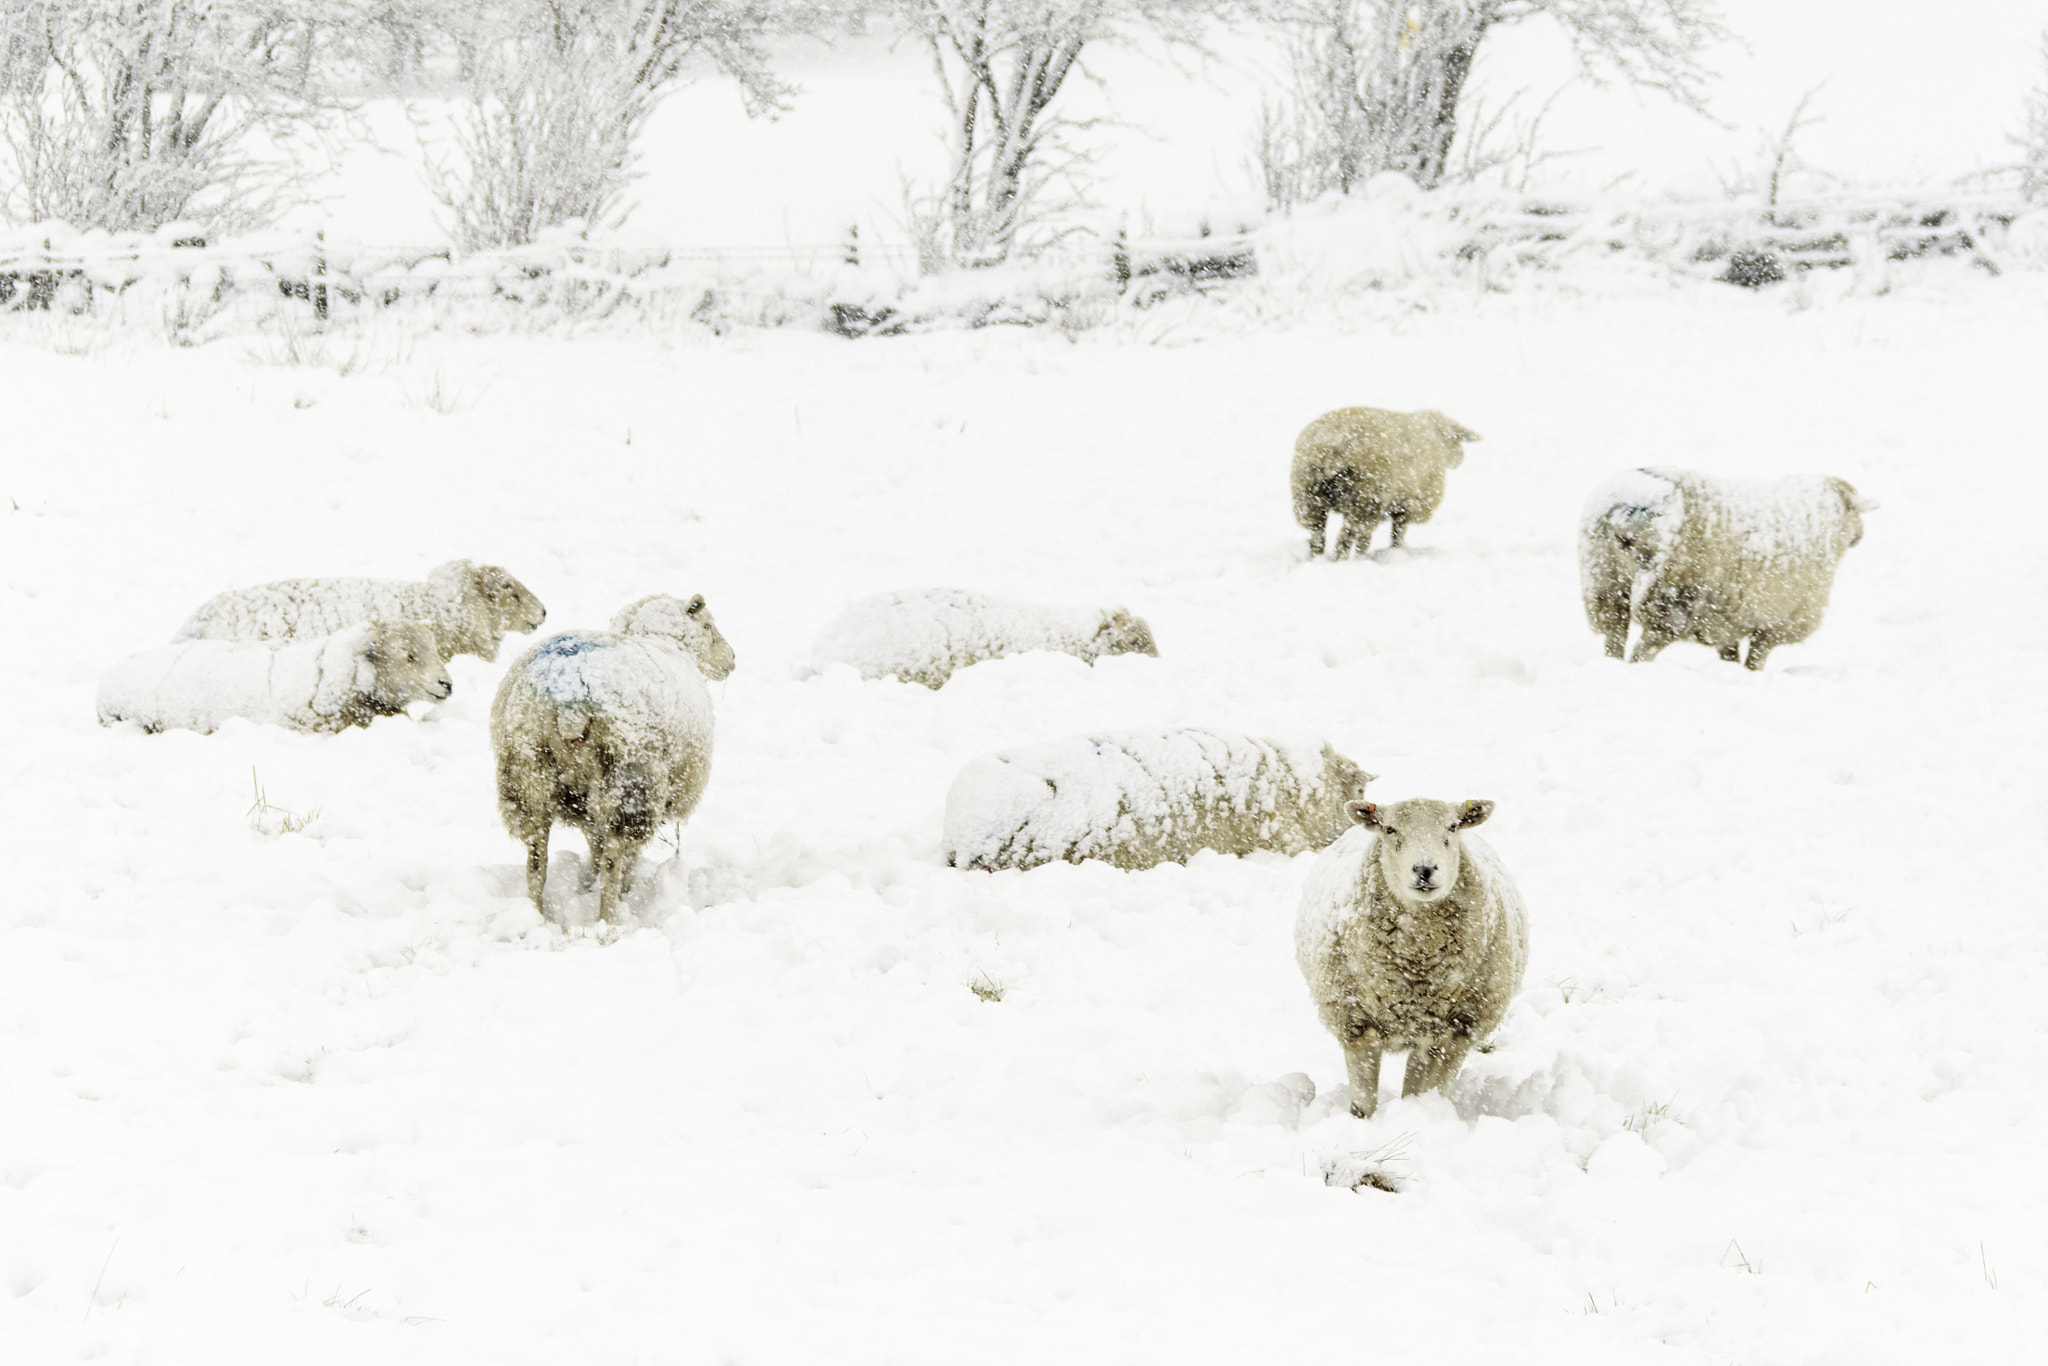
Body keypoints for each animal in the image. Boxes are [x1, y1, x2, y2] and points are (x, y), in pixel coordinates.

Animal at [490, 593, 736, 923]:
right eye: (708, 625)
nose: (732, 660)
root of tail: (570, 691)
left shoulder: (582, 805)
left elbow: (593, 843)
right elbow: (617, 854)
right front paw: (622, 891)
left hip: (527, 773)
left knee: (536, 857)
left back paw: (535, 914)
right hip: (629, 778)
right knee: (615, 856)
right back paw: (608, 918)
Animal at [1292, 407, 1483, 558]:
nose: (1459, 460)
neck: (1437, 437)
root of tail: (1334, 442)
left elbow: (1378, 536)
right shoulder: (1414, 502)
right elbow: (1397, 532)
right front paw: (1396, 551)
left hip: (1308, 497)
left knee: (1318, 534)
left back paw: (1317, 558)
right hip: (1364, 498)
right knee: (1347, 536)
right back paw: (1342, 560)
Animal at [1295, 797, 1528, 1119]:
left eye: (1452, 826)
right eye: (1390, 829)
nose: (1425, 869)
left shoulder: (1457, 1031)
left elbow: (1431, 1092)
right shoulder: (1355, 1025)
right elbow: (1363, 1103)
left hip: (1428, 1034)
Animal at [1579, 467, 1878, 669]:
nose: (1861, 536)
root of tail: (1631, 505)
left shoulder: (1726, 619)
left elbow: (1730, 656)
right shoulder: (1778, 622)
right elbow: (1755, 660)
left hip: (1605, 586)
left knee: (1614, 639)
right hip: (1669, 602)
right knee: (1643, 651)